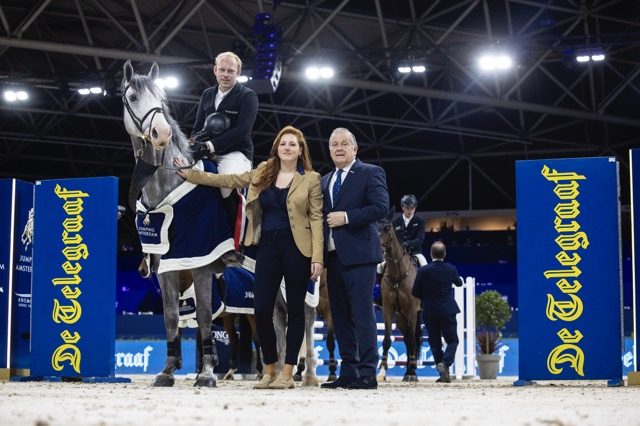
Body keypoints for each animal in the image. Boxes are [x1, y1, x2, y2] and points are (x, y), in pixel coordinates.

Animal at [122, 61, 238, 388]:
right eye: (133, 97)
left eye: (162, 99)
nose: (160, 132)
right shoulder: (166, 266)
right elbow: (171, 317)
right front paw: (168, 370)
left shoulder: (200, 263)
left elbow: (204, 317)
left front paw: (207, 373)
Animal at [378, 221, 422, 382]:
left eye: (387, 228)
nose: (381, 249)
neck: (397, 273)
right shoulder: (388, 309)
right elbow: (386, 340)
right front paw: (382, 372)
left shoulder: (412, 310)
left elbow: (413, 340)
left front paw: (413, 373)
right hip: (401, 317)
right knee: (407, 340)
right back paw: (407, 372)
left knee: (412, 339)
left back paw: (411, 371)